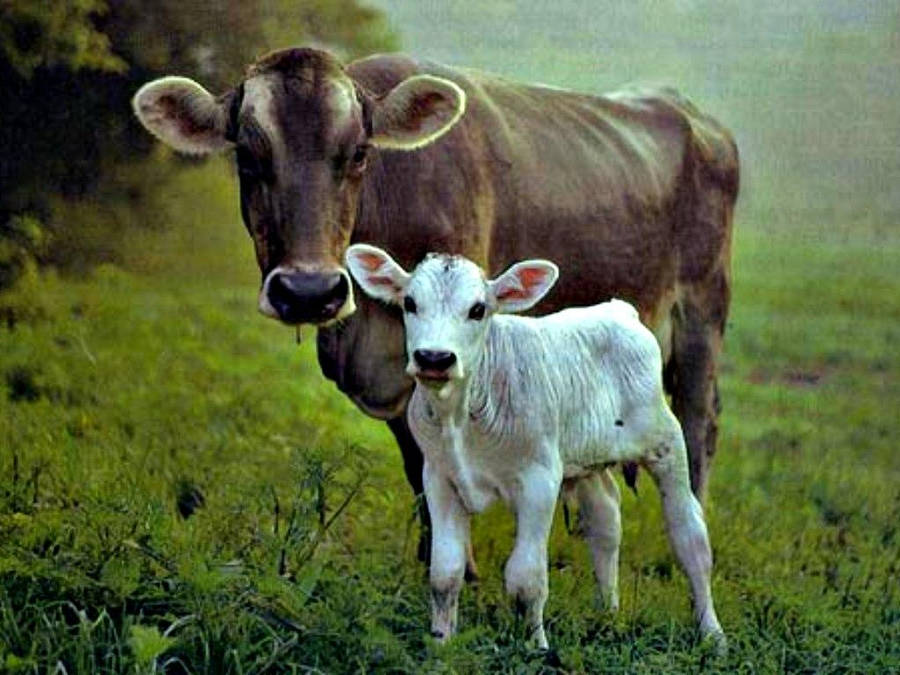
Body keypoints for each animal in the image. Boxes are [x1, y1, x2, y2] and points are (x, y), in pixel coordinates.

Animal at [131, 47, 739, 568]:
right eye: (247, 154)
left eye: (359, 153)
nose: (308, 291)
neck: (367, 328)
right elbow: (418, 463)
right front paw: (437, 555)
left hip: (701, 311)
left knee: (698, 420)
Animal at [344, 243, 725, 649]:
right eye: (410, 303)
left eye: (478, 309)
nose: (434, 358)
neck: (460, 414)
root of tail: (619, 310)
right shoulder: (439, 477)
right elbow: (445, 571)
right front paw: (441, 642)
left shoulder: (539, 479)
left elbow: (526, 577)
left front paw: (536, 647)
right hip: (583, 458)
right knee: (605, 522)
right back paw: (607, 614)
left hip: (665, 441)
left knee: (690, 535)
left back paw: (712, 634)